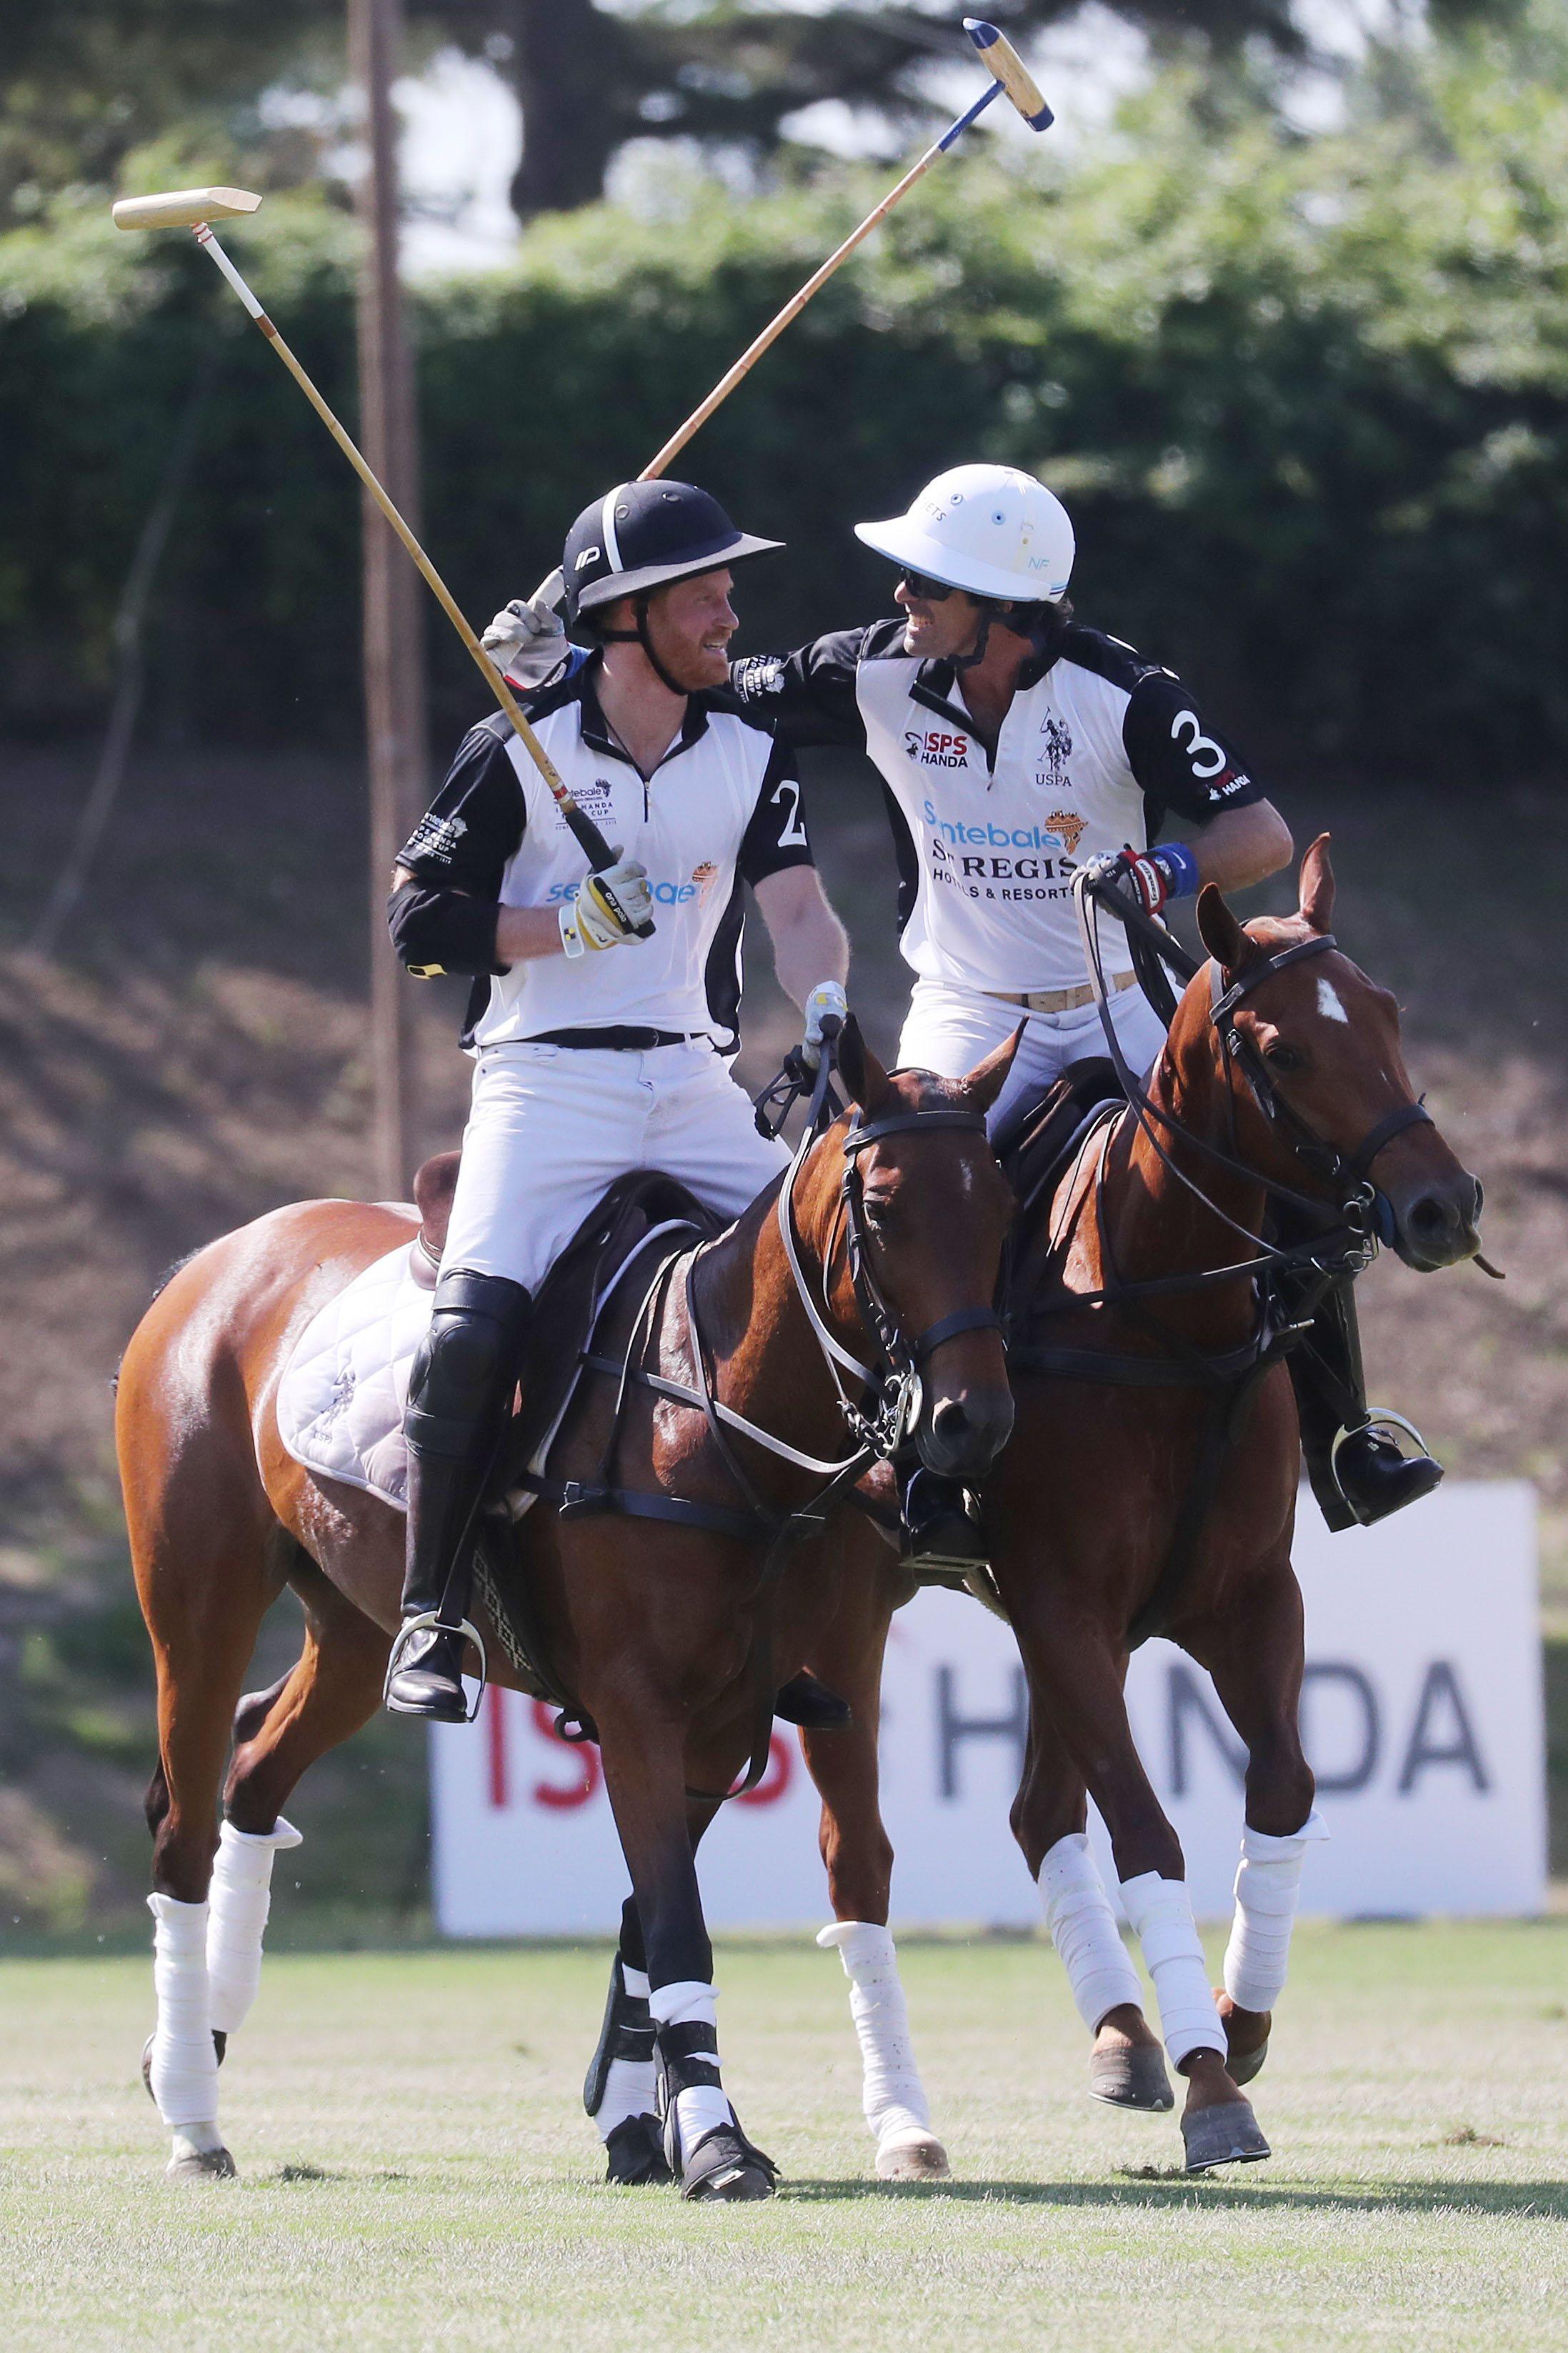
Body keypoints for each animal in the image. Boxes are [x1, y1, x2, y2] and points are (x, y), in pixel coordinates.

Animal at [113, 1021, 1020, 2193]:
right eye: (882, 1209)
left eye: (1000, 1205)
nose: (969, 1422)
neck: (718, 1413)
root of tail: (206, 1264)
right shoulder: (637, 1705)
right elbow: (673, 1922)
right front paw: (713, 2143)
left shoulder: (728, 1719)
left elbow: (649, 1915)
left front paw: (645, 2125)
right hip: (199, 1594)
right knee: (184, 1814)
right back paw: (192, 2112)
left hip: (354, 1622)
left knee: (258, 1765)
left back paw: (196, 2040)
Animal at [709, 837, 1485, 2174]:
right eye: (1282, 1050)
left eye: (1385, 1014)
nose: (1444, 1204)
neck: (1166, 1314)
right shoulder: (1064, 1599)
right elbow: (1149, 1833)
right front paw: (1216, 2083)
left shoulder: (1241, 1599)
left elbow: (1282, 1791)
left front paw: (1238, 2022)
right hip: (866, 1614)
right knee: (878, 1848)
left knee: (1035, 1812)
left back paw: (1126, 2036)